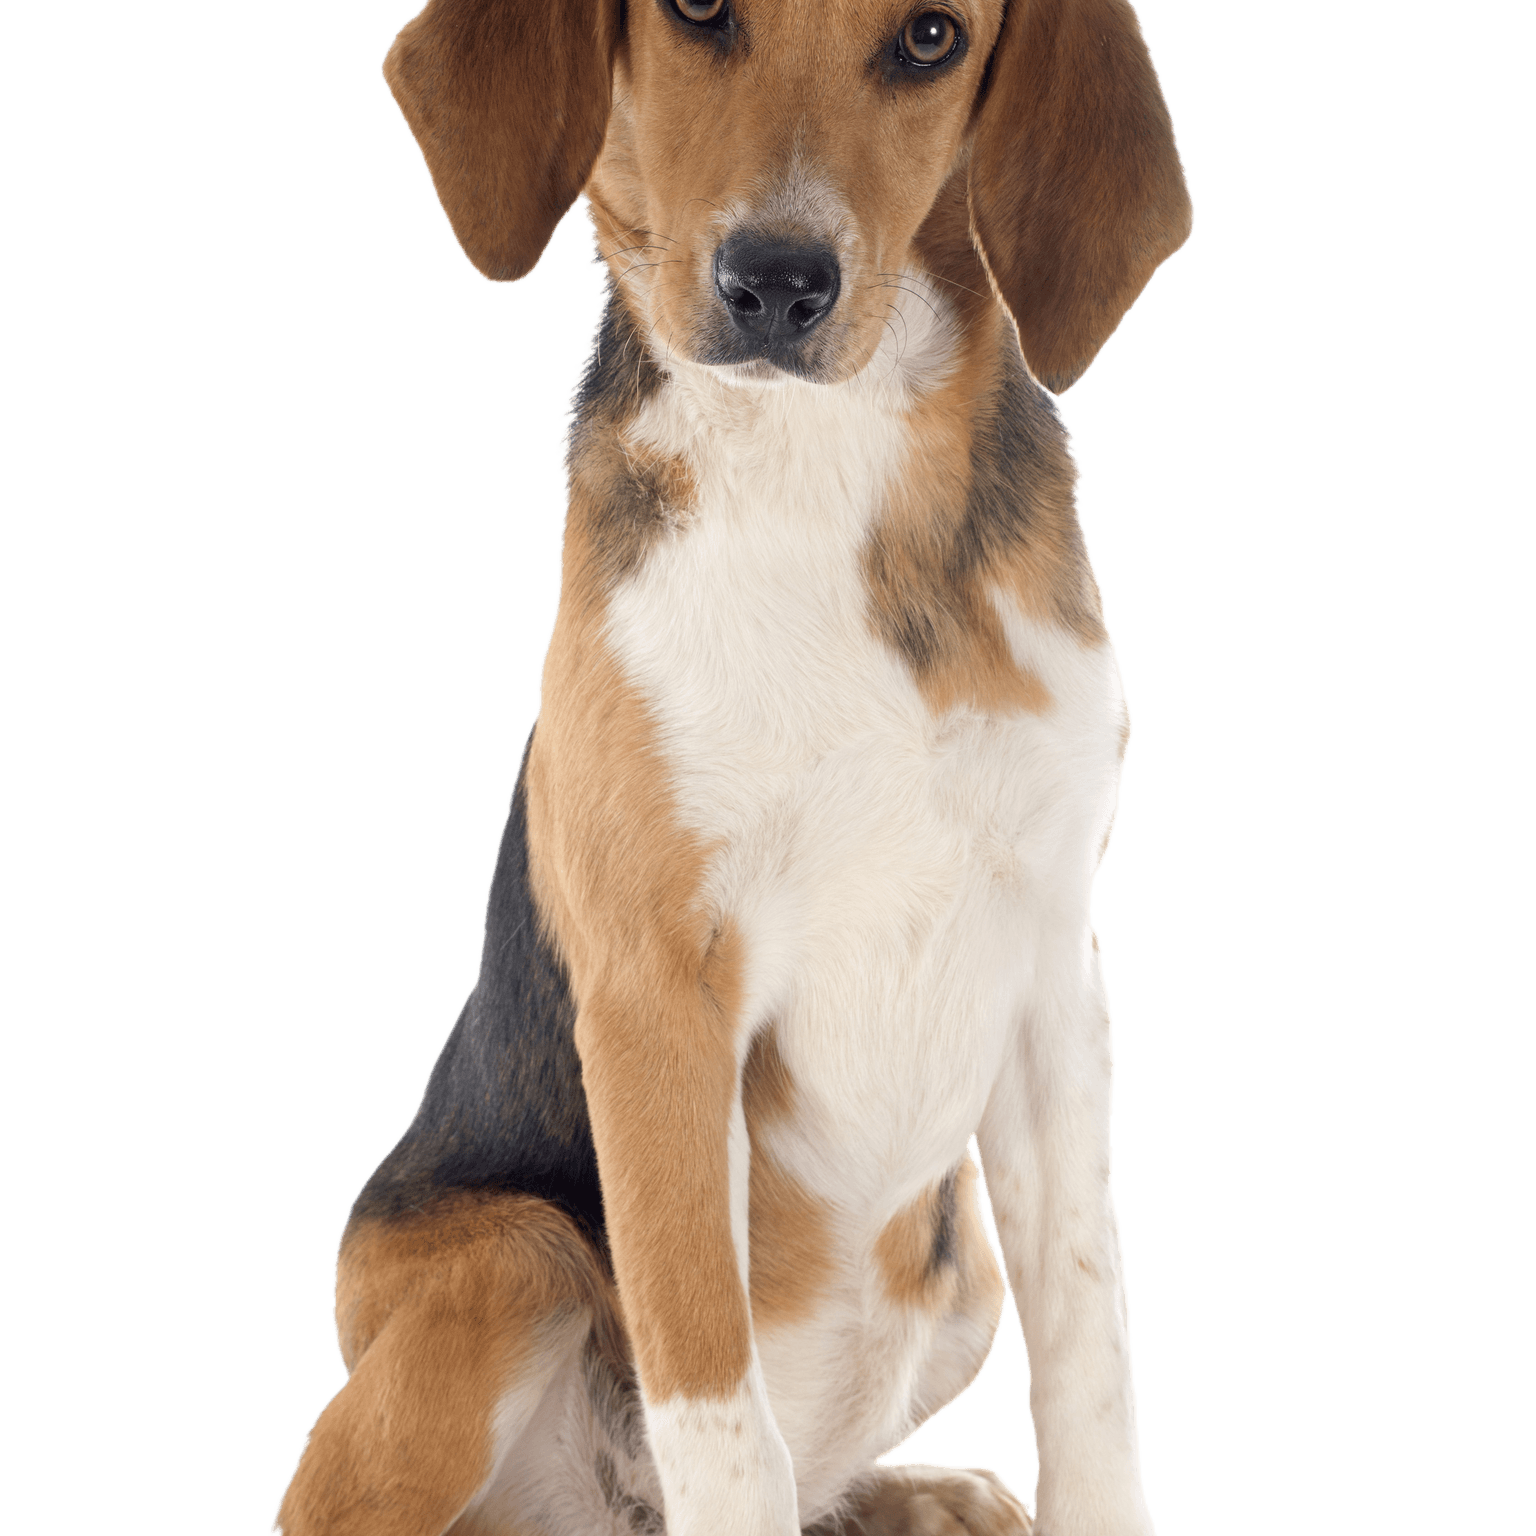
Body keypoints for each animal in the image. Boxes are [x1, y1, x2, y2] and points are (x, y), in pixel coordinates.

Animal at [273, 3, 1185, 1536]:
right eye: (697, 11)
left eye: (932, 37)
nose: (778, 283)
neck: (824, 458)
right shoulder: (660, 996)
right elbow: (719, 1408)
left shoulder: (1053, 965)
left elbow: (1093, 1349)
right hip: (506, 1262)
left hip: (956, 1270)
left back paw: (930, 1496)